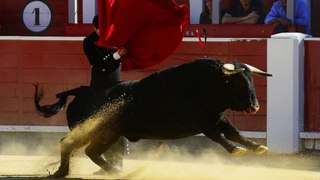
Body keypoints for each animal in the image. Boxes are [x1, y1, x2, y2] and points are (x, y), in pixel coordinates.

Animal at [33, 57, 272, 177]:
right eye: (238, 82)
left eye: (251, 79)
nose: (254, 107)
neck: (202, 84)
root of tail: (82, 91)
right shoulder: (201, 120)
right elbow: (218, 136)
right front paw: (236, 150)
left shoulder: (217, 117)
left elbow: (235, 133)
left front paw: (257, 147)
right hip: (92, 129)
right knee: (67, 143)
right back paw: (61, 172)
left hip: (109, 133)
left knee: (91, 151)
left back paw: (112, 172)